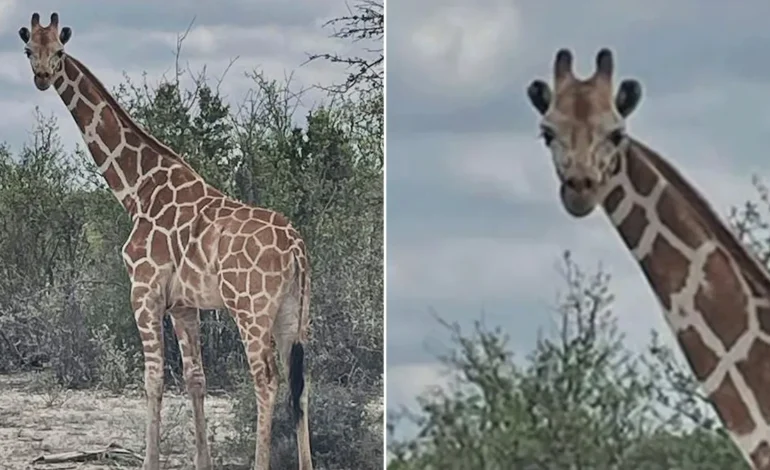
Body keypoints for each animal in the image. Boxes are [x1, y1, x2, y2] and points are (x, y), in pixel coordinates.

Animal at [18, 12, 313, 470]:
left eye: (60, 51)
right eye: (29, 48)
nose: (42, 77)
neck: (137, 190)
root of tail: (297, 249)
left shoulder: (144, 290)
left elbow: (153, 379)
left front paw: (150, 461)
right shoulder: (184, 304)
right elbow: (195, 379)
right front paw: (202, 462)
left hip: (251, 309)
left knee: (266, 380)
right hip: (293, 313)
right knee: (302, 385)